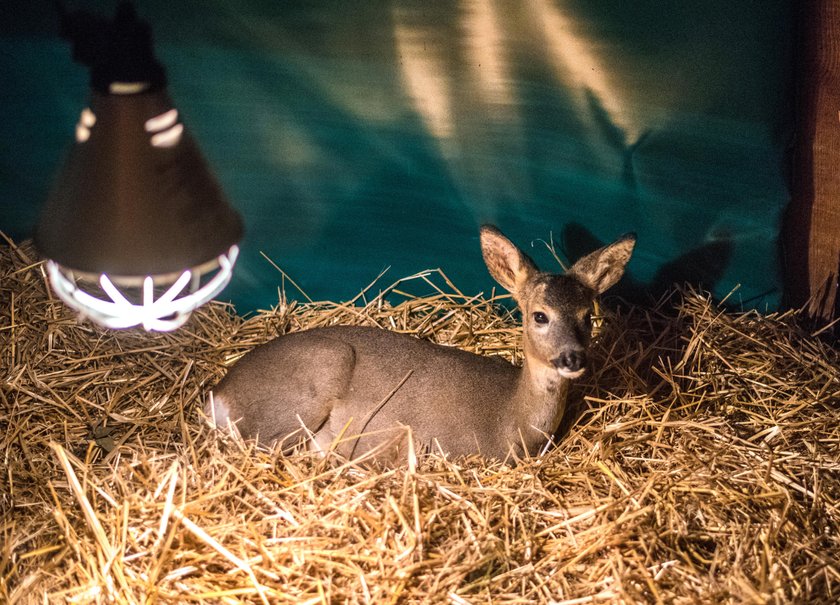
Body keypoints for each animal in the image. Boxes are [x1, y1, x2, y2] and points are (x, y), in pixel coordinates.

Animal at [207, 225, 632, 462]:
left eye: (588, 316)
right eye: (539, 315)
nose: (572, 358)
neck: (510, 419)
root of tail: (218, 394)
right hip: (315, 378)